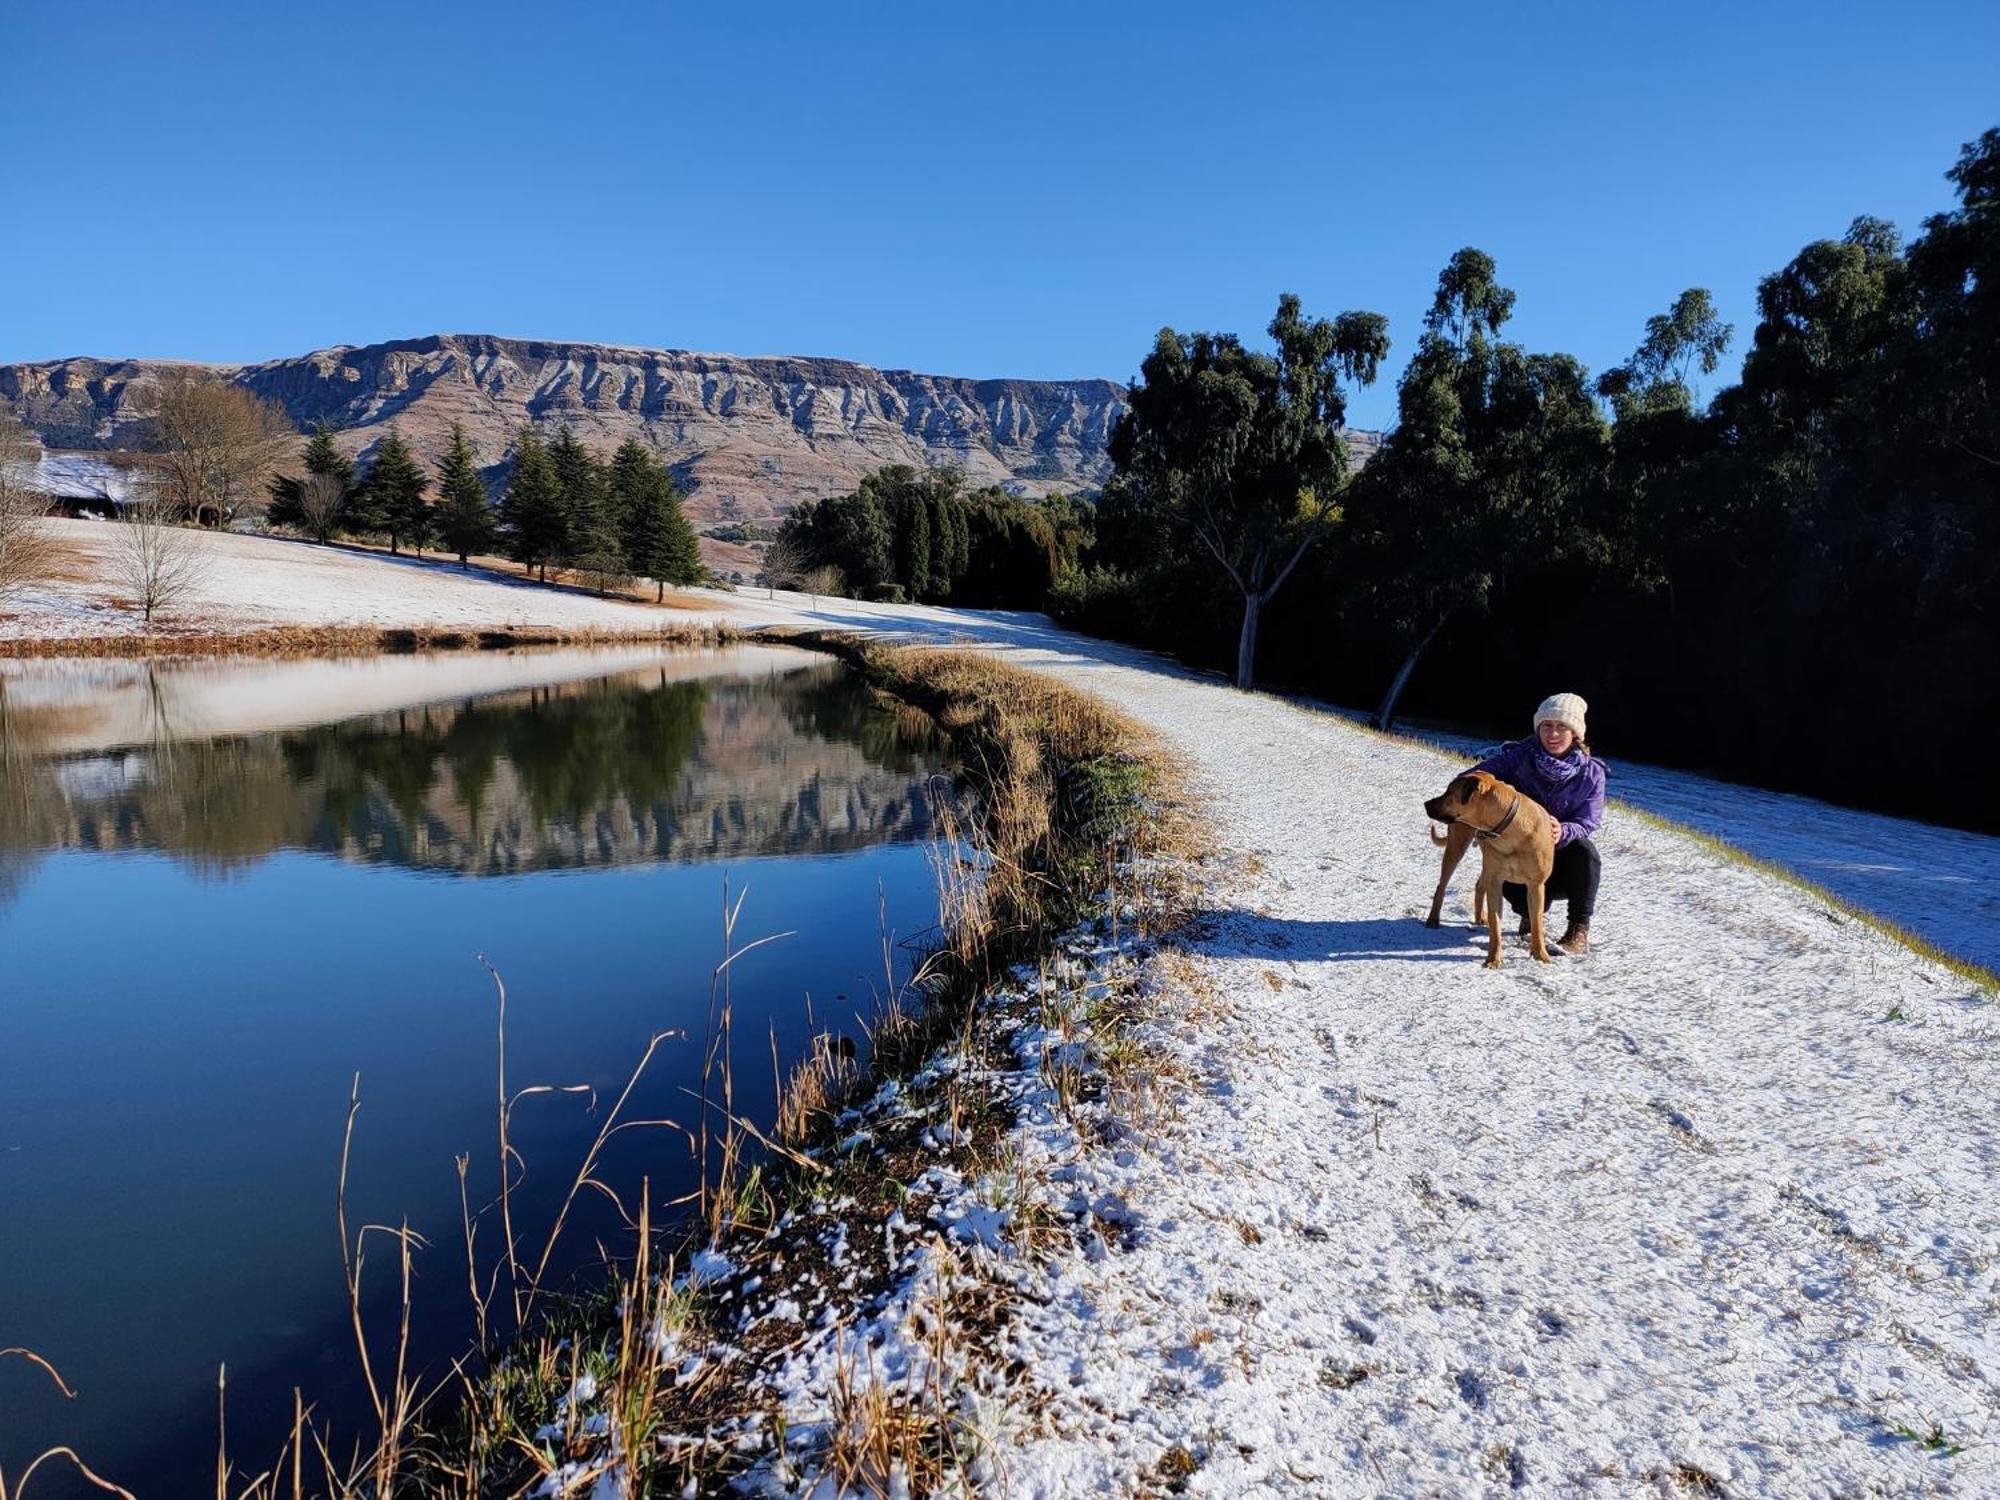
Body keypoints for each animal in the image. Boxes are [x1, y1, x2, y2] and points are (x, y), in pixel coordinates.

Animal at [1432, 768, 1552, 968]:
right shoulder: (1496, 881)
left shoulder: (1536, 885)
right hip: (1457, 845)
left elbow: (1536, 923)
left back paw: (1479, 917)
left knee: (1479, 885)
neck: (1510, 831)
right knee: (1441, 886)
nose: (1426, 804)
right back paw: (1433, 919)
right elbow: (1496, 925)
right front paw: (1493, 960)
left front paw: (1540, 955)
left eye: (1449, 793)